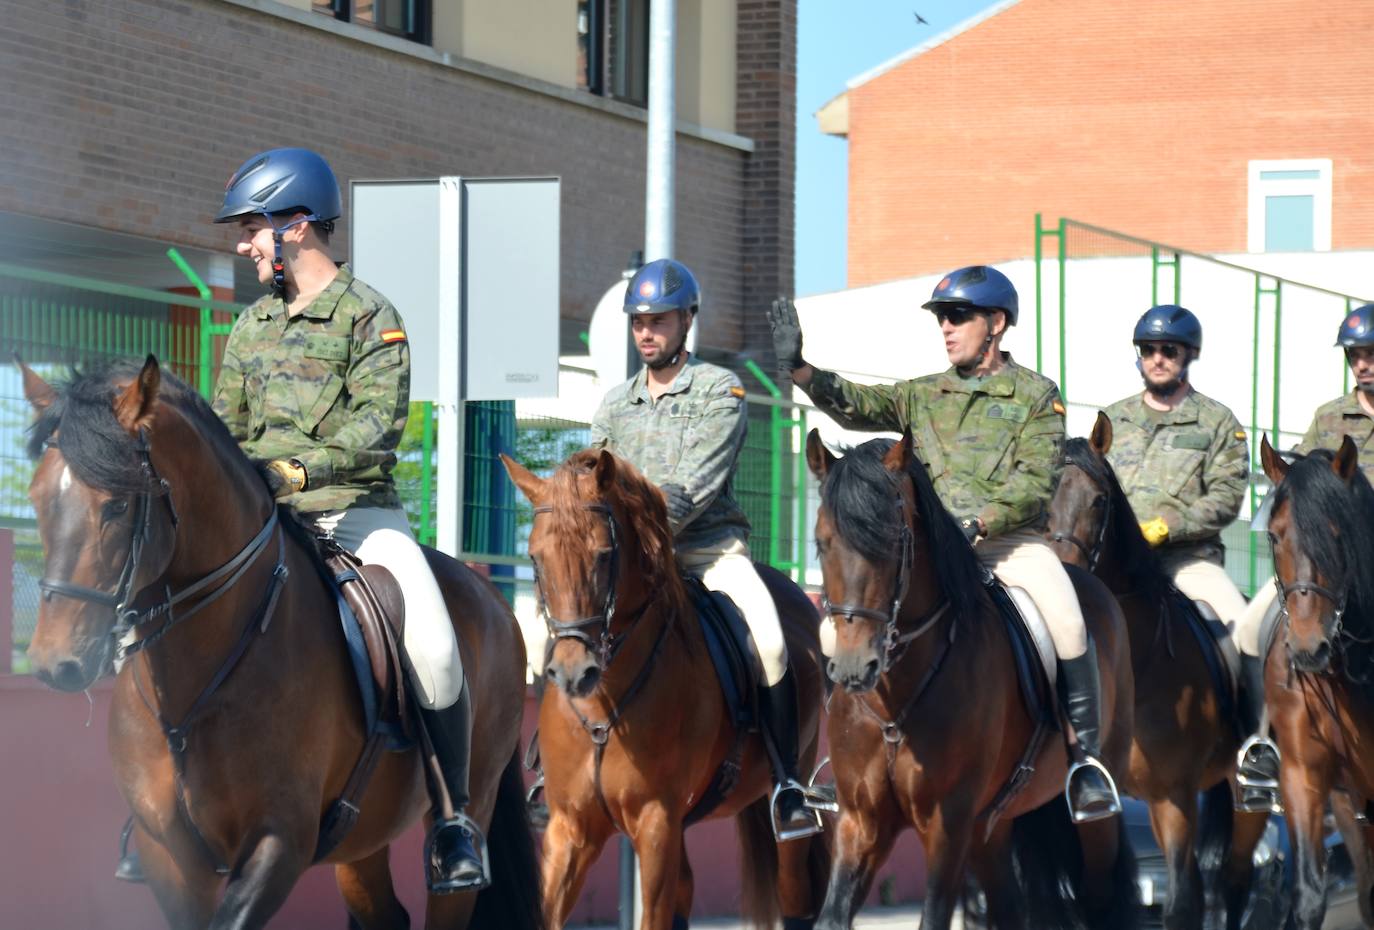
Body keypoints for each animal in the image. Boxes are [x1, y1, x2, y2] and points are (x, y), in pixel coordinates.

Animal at [22, 357, 535, 928]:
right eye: (38, 498)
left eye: (115, 506)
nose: (54, 664)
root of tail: (491, 596)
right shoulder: (170, 858)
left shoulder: (278, 843)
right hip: (362, 838)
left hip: (471, 804)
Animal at [502, 445, 829, 923]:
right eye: (533, 558)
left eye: (604, 555)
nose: (573, 674)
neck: (605, 710)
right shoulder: (571, 829)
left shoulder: (656, 823)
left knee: (796, 895)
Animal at [1044, 414, 1269, 928]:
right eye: (1046, 496)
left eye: (1099, 499)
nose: (1065, 577)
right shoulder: (1099, 801)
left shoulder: (1174, 798)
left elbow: (1180, 905)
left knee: (1235, 880)